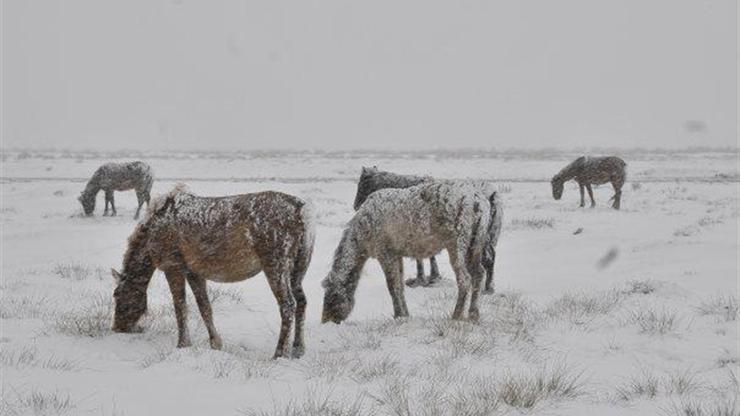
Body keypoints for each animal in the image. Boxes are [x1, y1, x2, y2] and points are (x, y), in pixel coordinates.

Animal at [111, 185, 314, 358]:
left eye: (118, 295)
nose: (117, 327)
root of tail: (302, 212)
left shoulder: (172, 266)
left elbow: (180, 306)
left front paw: (183, 343)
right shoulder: (193, 271)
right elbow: (204, 307)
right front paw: (216, 343)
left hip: (276, 264)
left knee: (287, 305)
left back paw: (278, 353)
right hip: (299, 267)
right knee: (302, 302)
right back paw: (298, 349)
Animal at [320, 182, 500, 324]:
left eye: (331, 296)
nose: (326, 320)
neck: (361, 240)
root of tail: (482, 204)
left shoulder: (384, 252)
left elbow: (392, 286)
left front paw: (398, 314)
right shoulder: (396, 254)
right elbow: (399, 285)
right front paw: (404, 314)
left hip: (456, 244)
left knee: (465, 279)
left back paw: (456, 315)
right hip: (475, 244)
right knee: (479, 273)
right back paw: (473, 314)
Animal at [352, 166, 502, 292]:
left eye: (363, 183)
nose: (356, 206)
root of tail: (491, 194)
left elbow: (422, 258)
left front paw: (422, 279)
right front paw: (432, 277)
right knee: (490, 258)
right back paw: (488, 287)